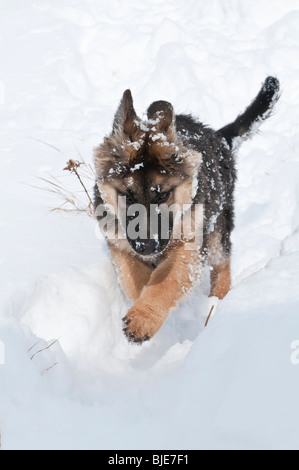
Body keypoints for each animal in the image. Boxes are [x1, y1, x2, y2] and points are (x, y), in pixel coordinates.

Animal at [94, 76, 282, 342]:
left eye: (163, 194)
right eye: (127, 195)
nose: (147, 247)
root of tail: (217, 137)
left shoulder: (190, 247)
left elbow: (165, 282)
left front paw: (143, 319)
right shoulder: (120, 246)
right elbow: (135, 282)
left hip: (217, 227)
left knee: (222, 265)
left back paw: (217, 305)